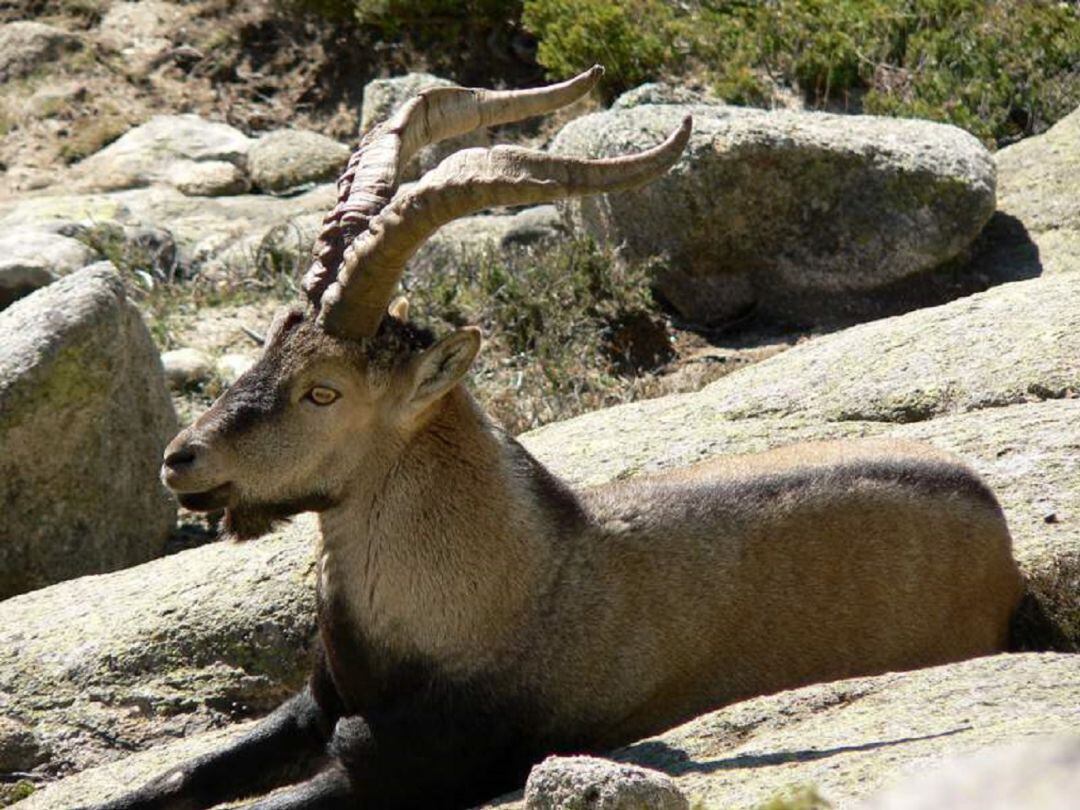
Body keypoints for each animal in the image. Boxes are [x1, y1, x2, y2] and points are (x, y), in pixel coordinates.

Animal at [90, 67, 1022, 810]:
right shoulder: (316, 706)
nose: (182, 459)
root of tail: (996, 525)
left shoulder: (413, 763)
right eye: (267, 342)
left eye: (324, 390)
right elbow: (178, 777)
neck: (508, 579)